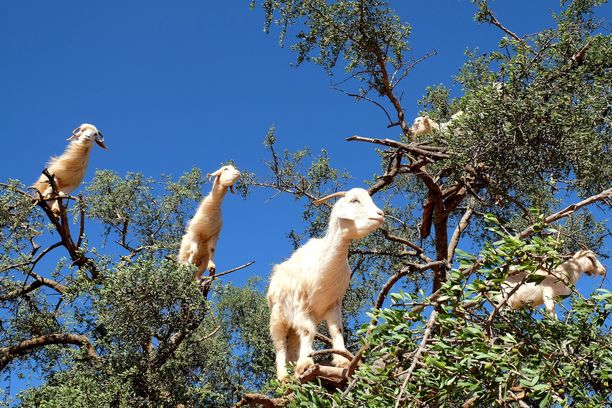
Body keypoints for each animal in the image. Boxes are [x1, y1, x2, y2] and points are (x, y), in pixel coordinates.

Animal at [266, 188, 382, 380]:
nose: (380, 215)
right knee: (280, 345)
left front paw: (342, 361)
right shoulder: (301, 305)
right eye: (354, 200)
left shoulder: (334, 303)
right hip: (278, 318)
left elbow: (337, 330)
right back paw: (283, 376)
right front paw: (306, 363)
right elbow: (308, 331)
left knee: (293, 344)